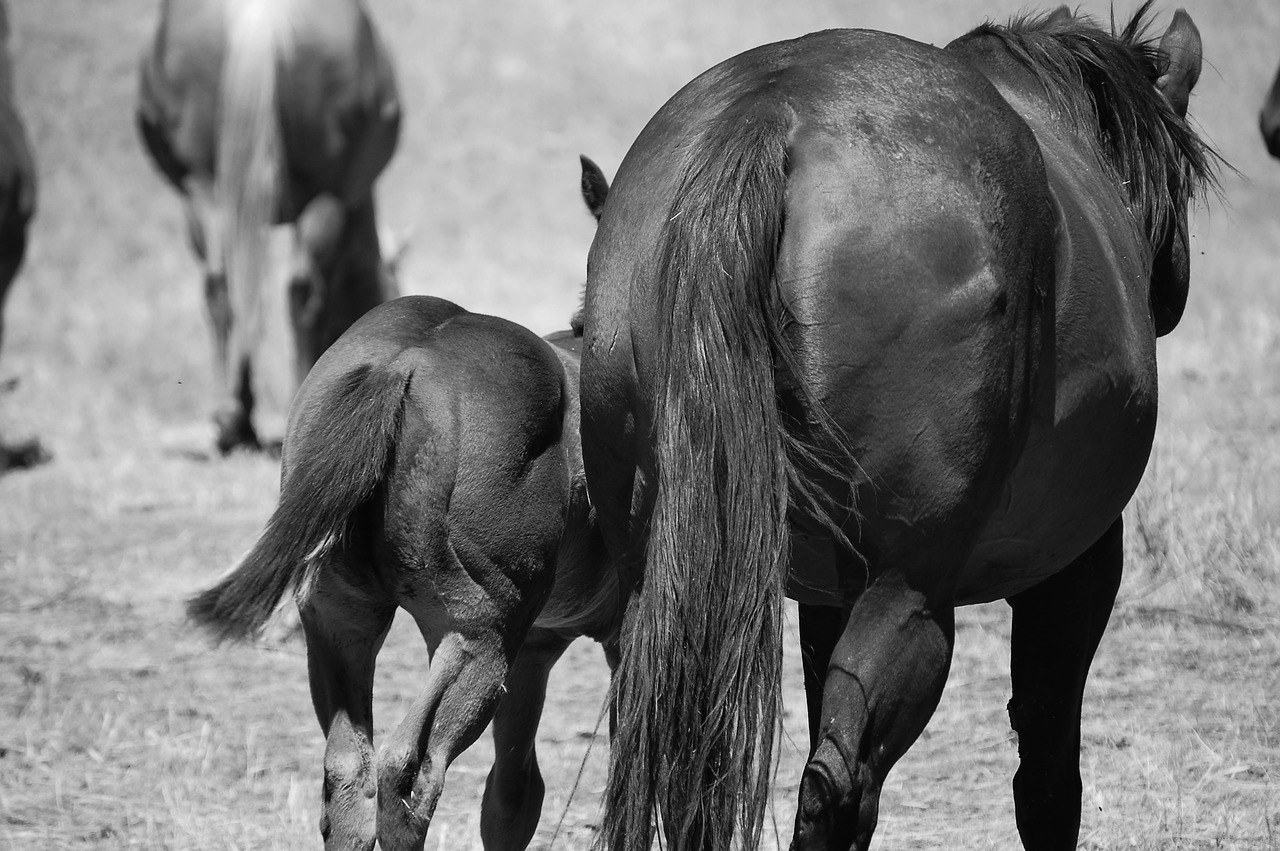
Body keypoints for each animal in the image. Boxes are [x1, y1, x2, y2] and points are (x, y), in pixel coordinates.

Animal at [186, 161, 622, 849]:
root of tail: (405, 363)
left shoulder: (536, 649)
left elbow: (512, 797)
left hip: (343, 618)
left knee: (348, 772)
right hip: (475, 637)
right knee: (408, 768)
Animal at [581, 3, 1218, 844]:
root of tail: (768, 115)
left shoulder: (825, 594)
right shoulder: (1077, 568)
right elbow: (1048, 774)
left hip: (660, 578)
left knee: (683, 759)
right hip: (908, 593)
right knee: (839, 782)